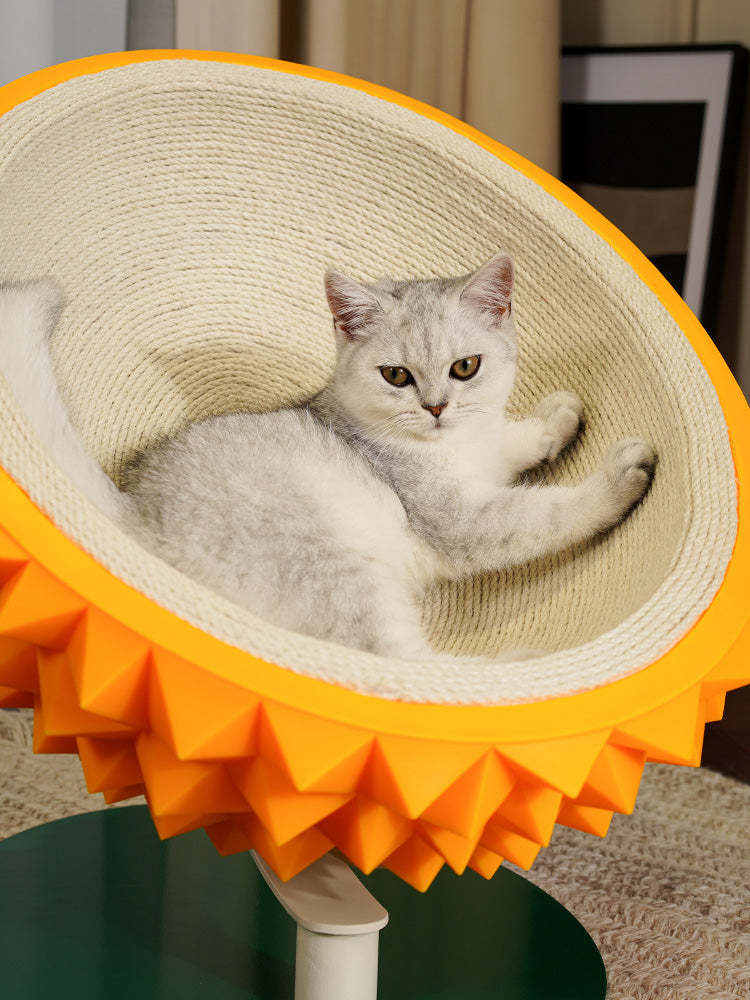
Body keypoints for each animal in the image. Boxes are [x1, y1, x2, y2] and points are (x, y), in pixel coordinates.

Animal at [0, 254, 656, 664]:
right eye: (396, 375)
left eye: (465, 367)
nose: (436, 407)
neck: (449, 448)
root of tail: (139, 518)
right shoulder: (465, 521)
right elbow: (549, 512)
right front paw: (620, 475)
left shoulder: (484, 455)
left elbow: (511, 440)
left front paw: (557, 418)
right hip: (337, 568)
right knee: (405, 669)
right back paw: (515, 671)